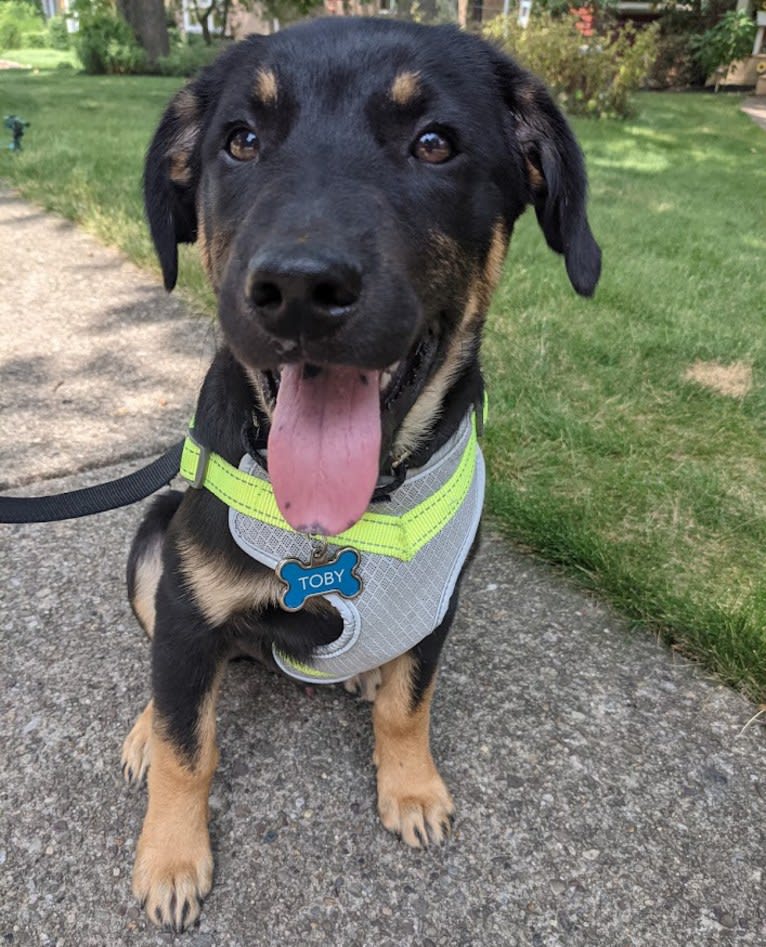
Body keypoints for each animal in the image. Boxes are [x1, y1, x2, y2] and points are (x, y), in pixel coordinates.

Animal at [121, 14, 600, 932]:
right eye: (240, 140)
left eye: (435, 142)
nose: (298, 287)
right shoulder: (190, 606)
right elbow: (185, 744)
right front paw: (169, 856)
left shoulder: (442, 599)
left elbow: (410, 704)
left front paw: (410, 787)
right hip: (152, 535)